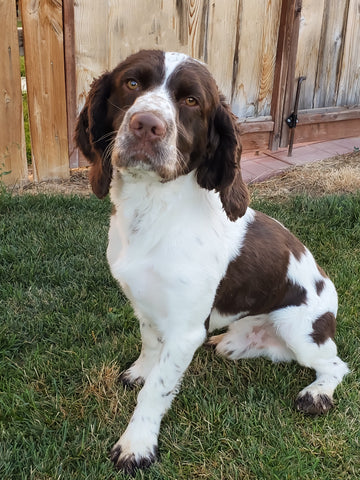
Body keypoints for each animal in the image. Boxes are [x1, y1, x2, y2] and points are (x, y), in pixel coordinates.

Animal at [74, 50, 348, 474]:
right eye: (132, 83)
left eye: (191, 101)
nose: (146, 125)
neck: (153, 210)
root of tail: (328, 284)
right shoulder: (146, 306)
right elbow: (149, 347)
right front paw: (140, 372)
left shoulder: (186, 330)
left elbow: (156, 391)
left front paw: (136, 445)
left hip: (301, 330)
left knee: (336, 365)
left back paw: (317, 393)